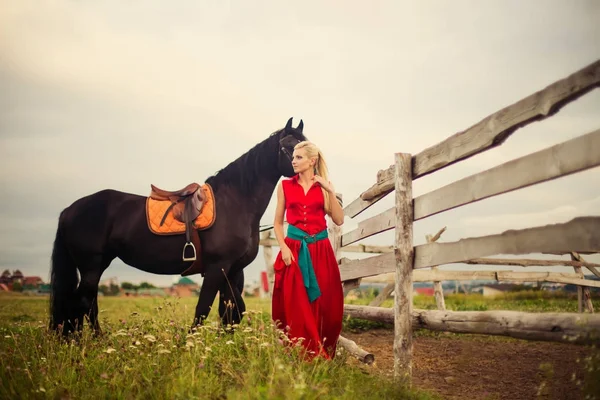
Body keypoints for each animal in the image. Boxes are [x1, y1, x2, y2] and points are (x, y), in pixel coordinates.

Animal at [49, 118, 308, 334]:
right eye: (289, 147)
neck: (235, 202)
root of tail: (69, 210)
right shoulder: (217, 268)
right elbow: (203, 310)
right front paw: (189, 345)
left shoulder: (234, 270)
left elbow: (232, 311)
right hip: (91, 266)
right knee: (82, 303)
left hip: (97, 264)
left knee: (85, 304)